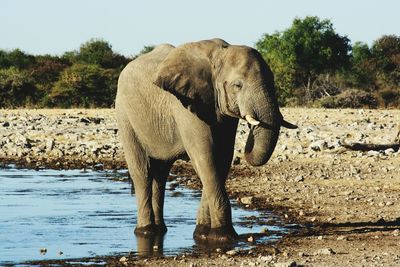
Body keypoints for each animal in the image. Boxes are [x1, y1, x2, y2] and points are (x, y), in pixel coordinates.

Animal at [114, 38, 296, 244]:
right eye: (237, 85)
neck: (219, 55)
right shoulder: (185, 104)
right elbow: (205, 156)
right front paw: (223, 236)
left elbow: (222, 158)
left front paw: (202, 233)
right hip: (125, 115)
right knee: (142, 172)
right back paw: (146, 231)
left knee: (160, 174)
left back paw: (160, 229)